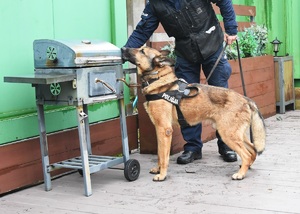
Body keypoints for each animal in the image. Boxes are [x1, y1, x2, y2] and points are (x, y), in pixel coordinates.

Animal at [120, 46, 266, 181]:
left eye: (142, 51)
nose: (122, 48)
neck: (157, 79)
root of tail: (245, 99)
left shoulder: (164, 130)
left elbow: (163, 156)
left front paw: (162, 175)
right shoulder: (159, 130)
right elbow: (159, 154)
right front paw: (158, 169)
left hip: (227, 134)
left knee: (246, 154)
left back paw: (240, 174)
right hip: (237, 134)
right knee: (253, 150)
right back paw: (246, 168)